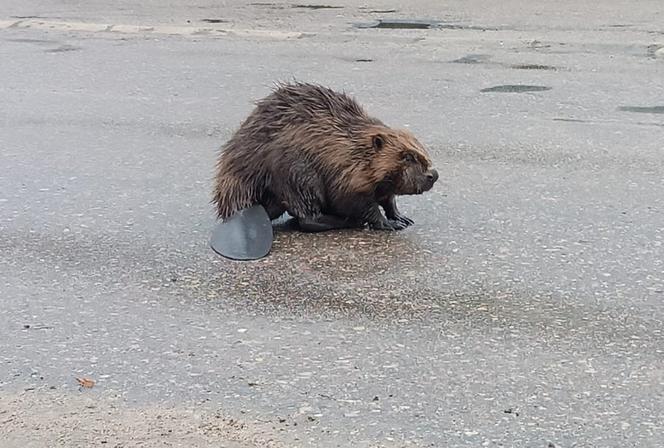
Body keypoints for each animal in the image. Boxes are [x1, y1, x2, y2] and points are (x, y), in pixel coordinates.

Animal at [213, 82, 438, 233]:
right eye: (407, 157)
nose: (433, 175)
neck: (352, 145)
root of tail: (240, 211)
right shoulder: (344, 172)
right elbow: (357, 202)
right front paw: (389, 224)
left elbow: (387, 198)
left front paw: (402, 218)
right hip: (296, 172)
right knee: (308, 217)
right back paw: (348, 221)